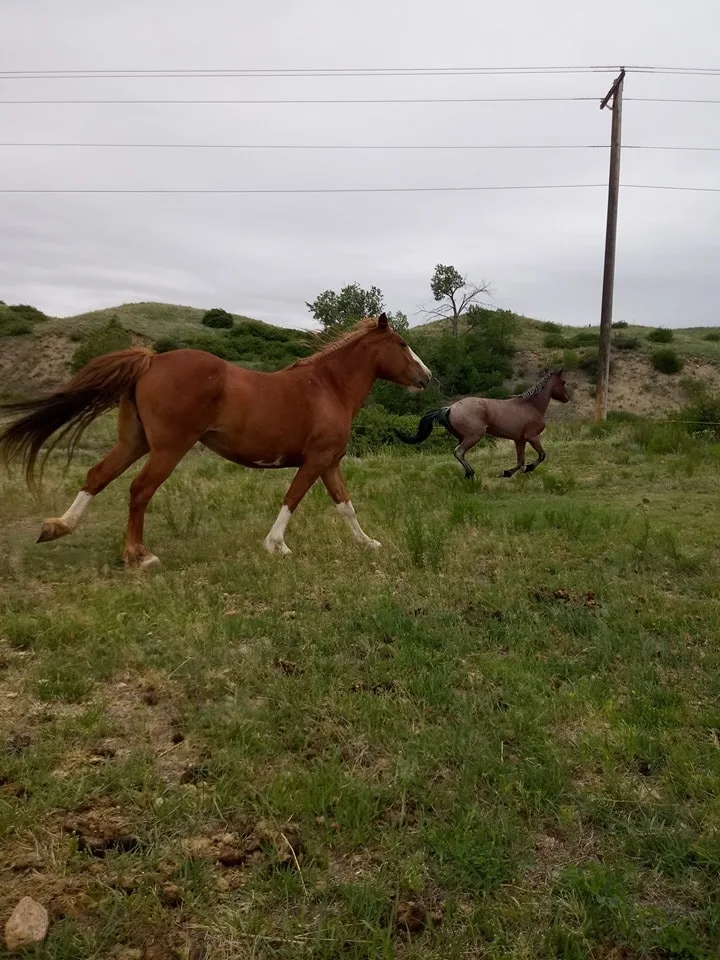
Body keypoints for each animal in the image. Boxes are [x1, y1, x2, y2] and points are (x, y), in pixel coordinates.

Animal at [0, 316, 430, 568]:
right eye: (402, 344)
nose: (427, 376)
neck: (328, 387)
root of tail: (152, 360)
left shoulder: (329, 463)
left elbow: (346, 507)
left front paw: (368, 543)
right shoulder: (314, 462)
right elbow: (292, 500)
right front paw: (276, 546)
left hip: (134, 442)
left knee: (97, 475)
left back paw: (58, 527)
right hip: (168, 449)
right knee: (139, 490)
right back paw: (139, 555)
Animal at [396, 374, 572, 484]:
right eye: (563, 382)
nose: (567, 398)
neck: (531, 406)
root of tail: (450, 408)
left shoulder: (519, 440)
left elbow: (520, 461)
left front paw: (507, 473)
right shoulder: (532, 437)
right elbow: (541, 456)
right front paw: (527, 469)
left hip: (463, 437)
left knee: (459, 453)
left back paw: (468, 474)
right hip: (474, 436)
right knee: (458, 452)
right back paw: (471, 474)